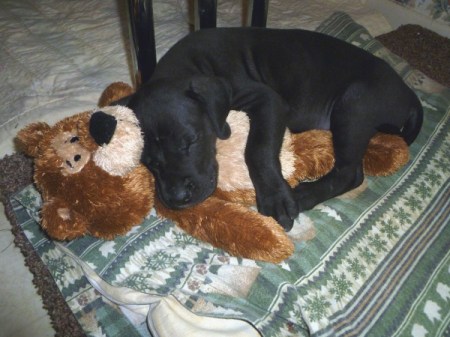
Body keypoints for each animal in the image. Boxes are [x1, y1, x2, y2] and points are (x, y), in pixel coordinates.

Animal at [119, 27, 422, 230]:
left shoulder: (268, 100)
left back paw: (303, 194)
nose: (178, 198)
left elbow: (258, 149)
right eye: (148, 162)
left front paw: (276, 197)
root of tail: (409, 93)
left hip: (354, 105)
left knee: (350, 173)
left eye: (190, 141)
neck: (189, 66)